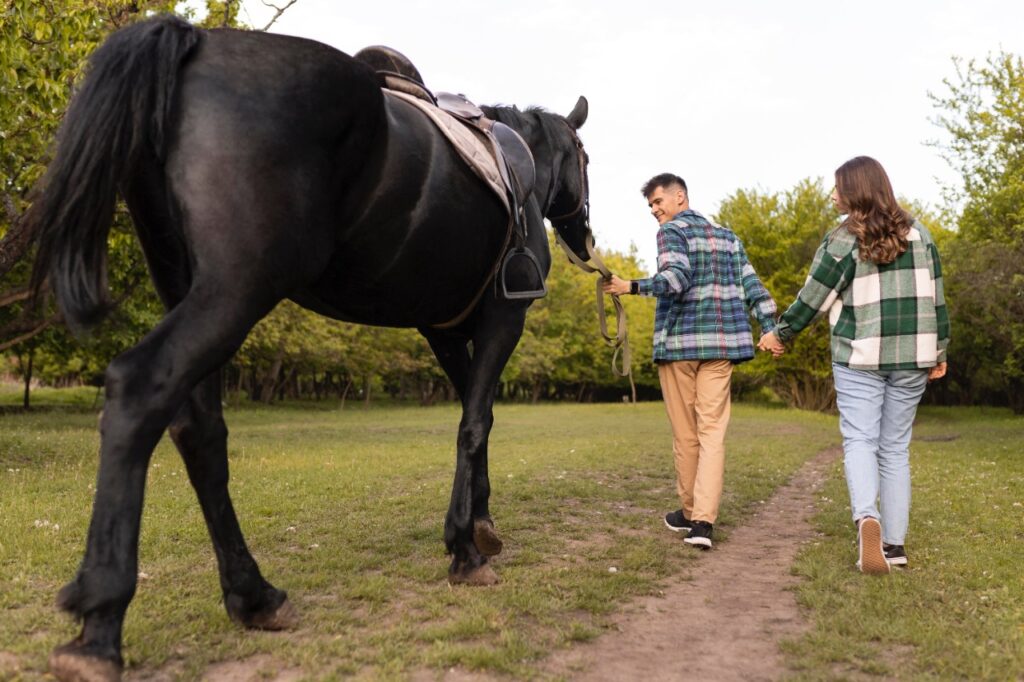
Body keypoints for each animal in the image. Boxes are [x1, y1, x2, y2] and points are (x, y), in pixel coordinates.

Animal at [25, 15, 593, 682]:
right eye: (586, 158)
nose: (585, 235)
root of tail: (194, 45)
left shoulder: (447, 330)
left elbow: (473, 419)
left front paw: (480, 525)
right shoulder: (504, 317)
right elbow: (475, 422)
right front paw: (465, 548)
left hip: (188, 286)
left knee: (198, 429)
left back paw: (253, 594)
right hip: (236, 289)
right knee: (140, 391)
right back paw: (100, 623)